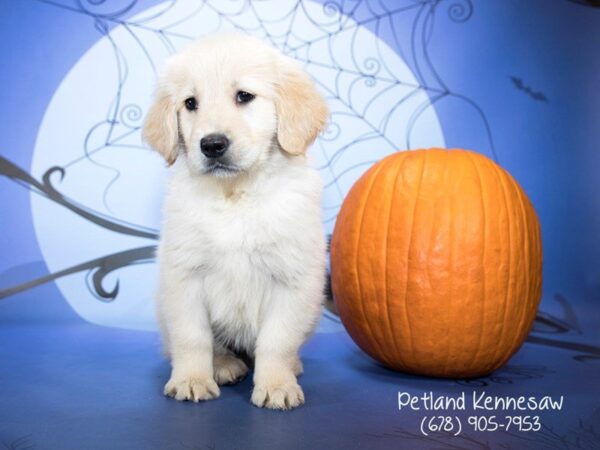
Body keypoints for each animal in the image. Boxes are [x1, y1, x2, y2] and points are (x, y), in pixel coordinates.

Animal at [142, 33, 328, 410]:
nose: (212, 144)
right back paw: (224, 365)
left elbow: (278, 340)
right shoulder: (184, 276)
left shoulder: (293, 278)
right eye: (190, 103)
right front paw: (191, 379)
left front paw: (276, 385)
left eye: (244, 96)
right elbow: (192, 337)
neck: (236, 194)